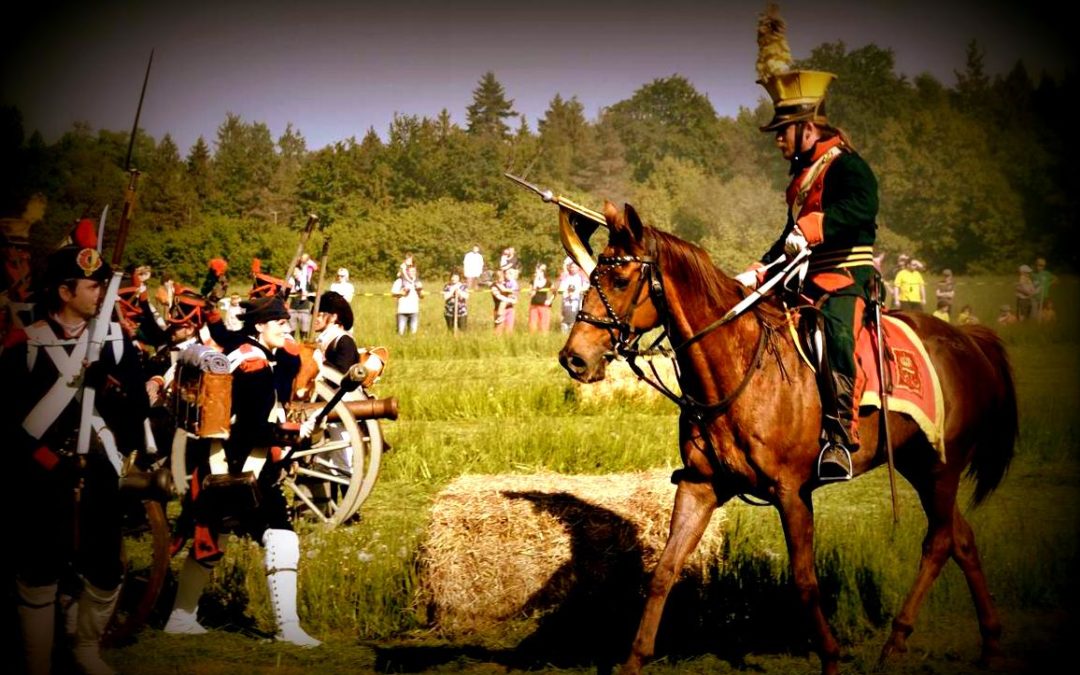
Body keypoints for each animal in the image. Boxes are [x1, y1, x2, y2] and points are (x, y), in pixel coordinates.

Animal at [561, 200, 1015, 673]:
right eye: (592, 277)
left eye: (619, 279)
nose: (574, 358)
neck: (740, 367)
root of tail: (968, 339)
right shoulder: (701, 486)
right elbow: (665, 569)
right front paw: (634, 659)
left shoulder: (792, 493)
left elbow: (804, 580)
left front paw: (830, 657)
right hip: (920, 465)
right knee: (962, 539)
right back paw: (990, 643)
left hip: (942, 466)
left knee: (939, 541)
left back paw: (897, 639)